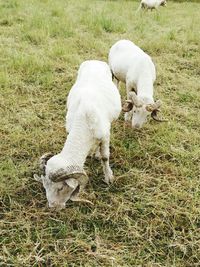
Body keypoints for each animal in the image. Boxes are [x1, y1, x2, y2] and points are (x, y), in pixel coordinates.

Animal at [34, 60, 121, 209]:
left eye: (61, 187)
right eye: (45, 186)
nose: (53, 207)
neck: (83, 118)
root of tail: (95, 60)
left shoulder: (105, 135)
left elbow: (105, 157)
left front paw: (109, 177)